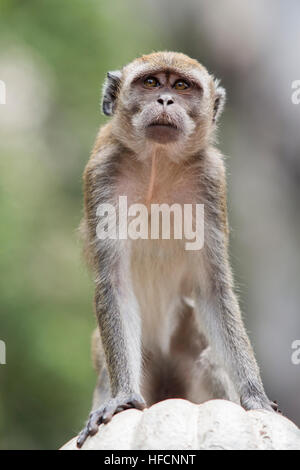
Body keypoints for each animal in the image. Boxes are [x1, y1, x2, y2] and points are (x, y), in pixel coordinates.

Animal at [77, 51, 276, 448]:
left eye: (182, 86)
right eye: (151, 82)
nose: (166, 100)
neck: (158, 161)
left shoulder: (211, 180)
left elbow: (213, 289)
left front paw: (255, 396)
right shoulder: (102, 175)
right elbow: (114, 284)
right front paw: (123, 396)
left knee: (208, 361)